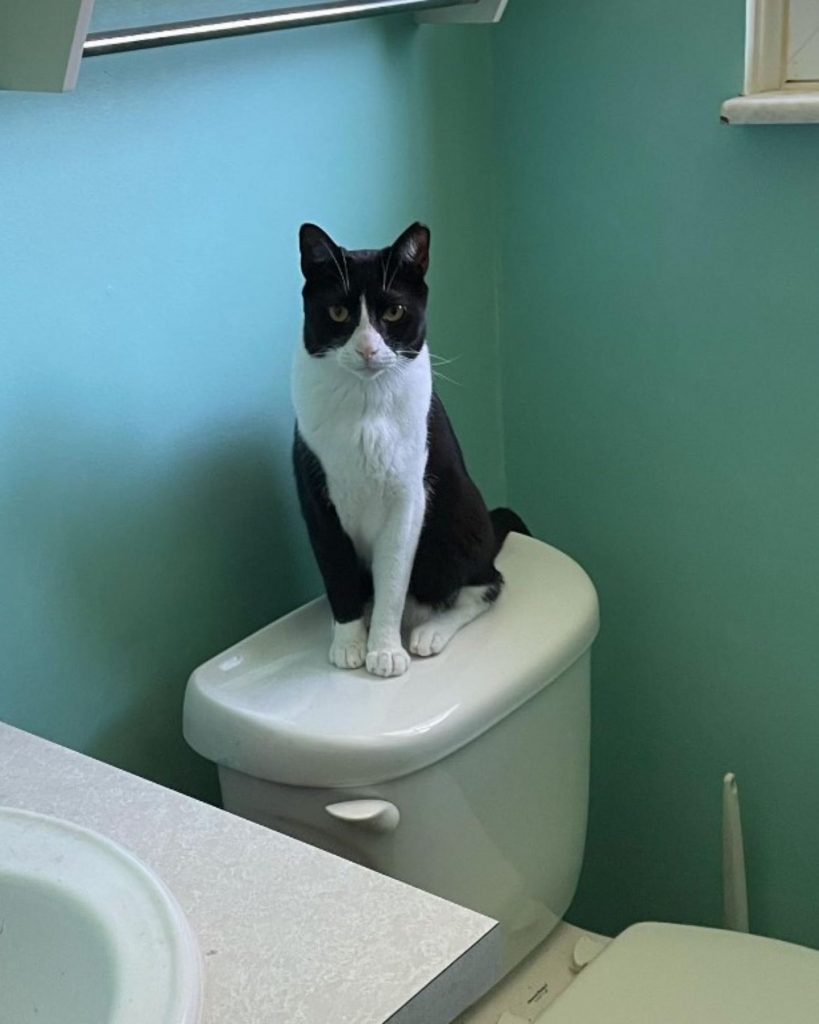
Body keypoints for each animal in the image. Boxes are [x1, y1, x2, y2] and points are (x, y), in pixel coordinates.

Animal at [290, 220, 528, 675]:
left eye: (394, 312)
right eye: (339, 312)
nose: (368, 349)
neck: (366, 405)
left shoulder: (408, 495)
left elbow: (394, 576)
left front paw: (384, 650)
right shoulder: (315, 497)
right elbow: (336, 571)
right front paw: (349, 642)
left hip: (457, 520)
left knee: (485, 585)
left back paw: (429, 630)